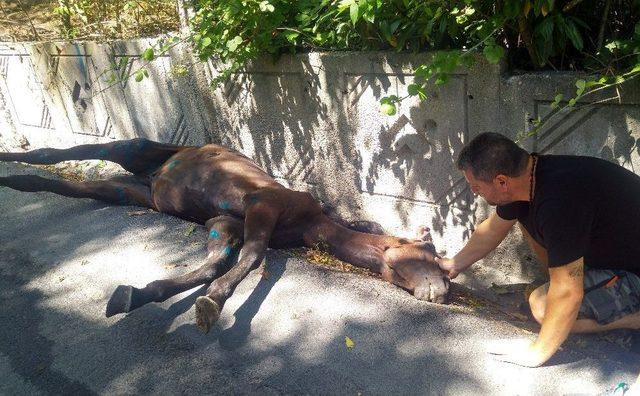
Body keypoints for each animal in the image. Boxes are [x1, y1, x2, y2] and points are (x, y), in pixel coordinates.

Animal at [0, 138, 450, 332]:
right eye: (429, 254)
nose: (442, 292)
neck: (311, 222)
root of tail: (157, 171)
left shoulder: (225, 223)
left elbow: (216, 263)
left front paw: (137, 294)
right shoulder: (262, 206)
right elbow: (252, 257)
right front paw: (211, 304)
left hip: (133, 191)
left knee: (64, 185)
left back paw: (14, 180)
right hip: (132, 149)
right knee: (54, 153)